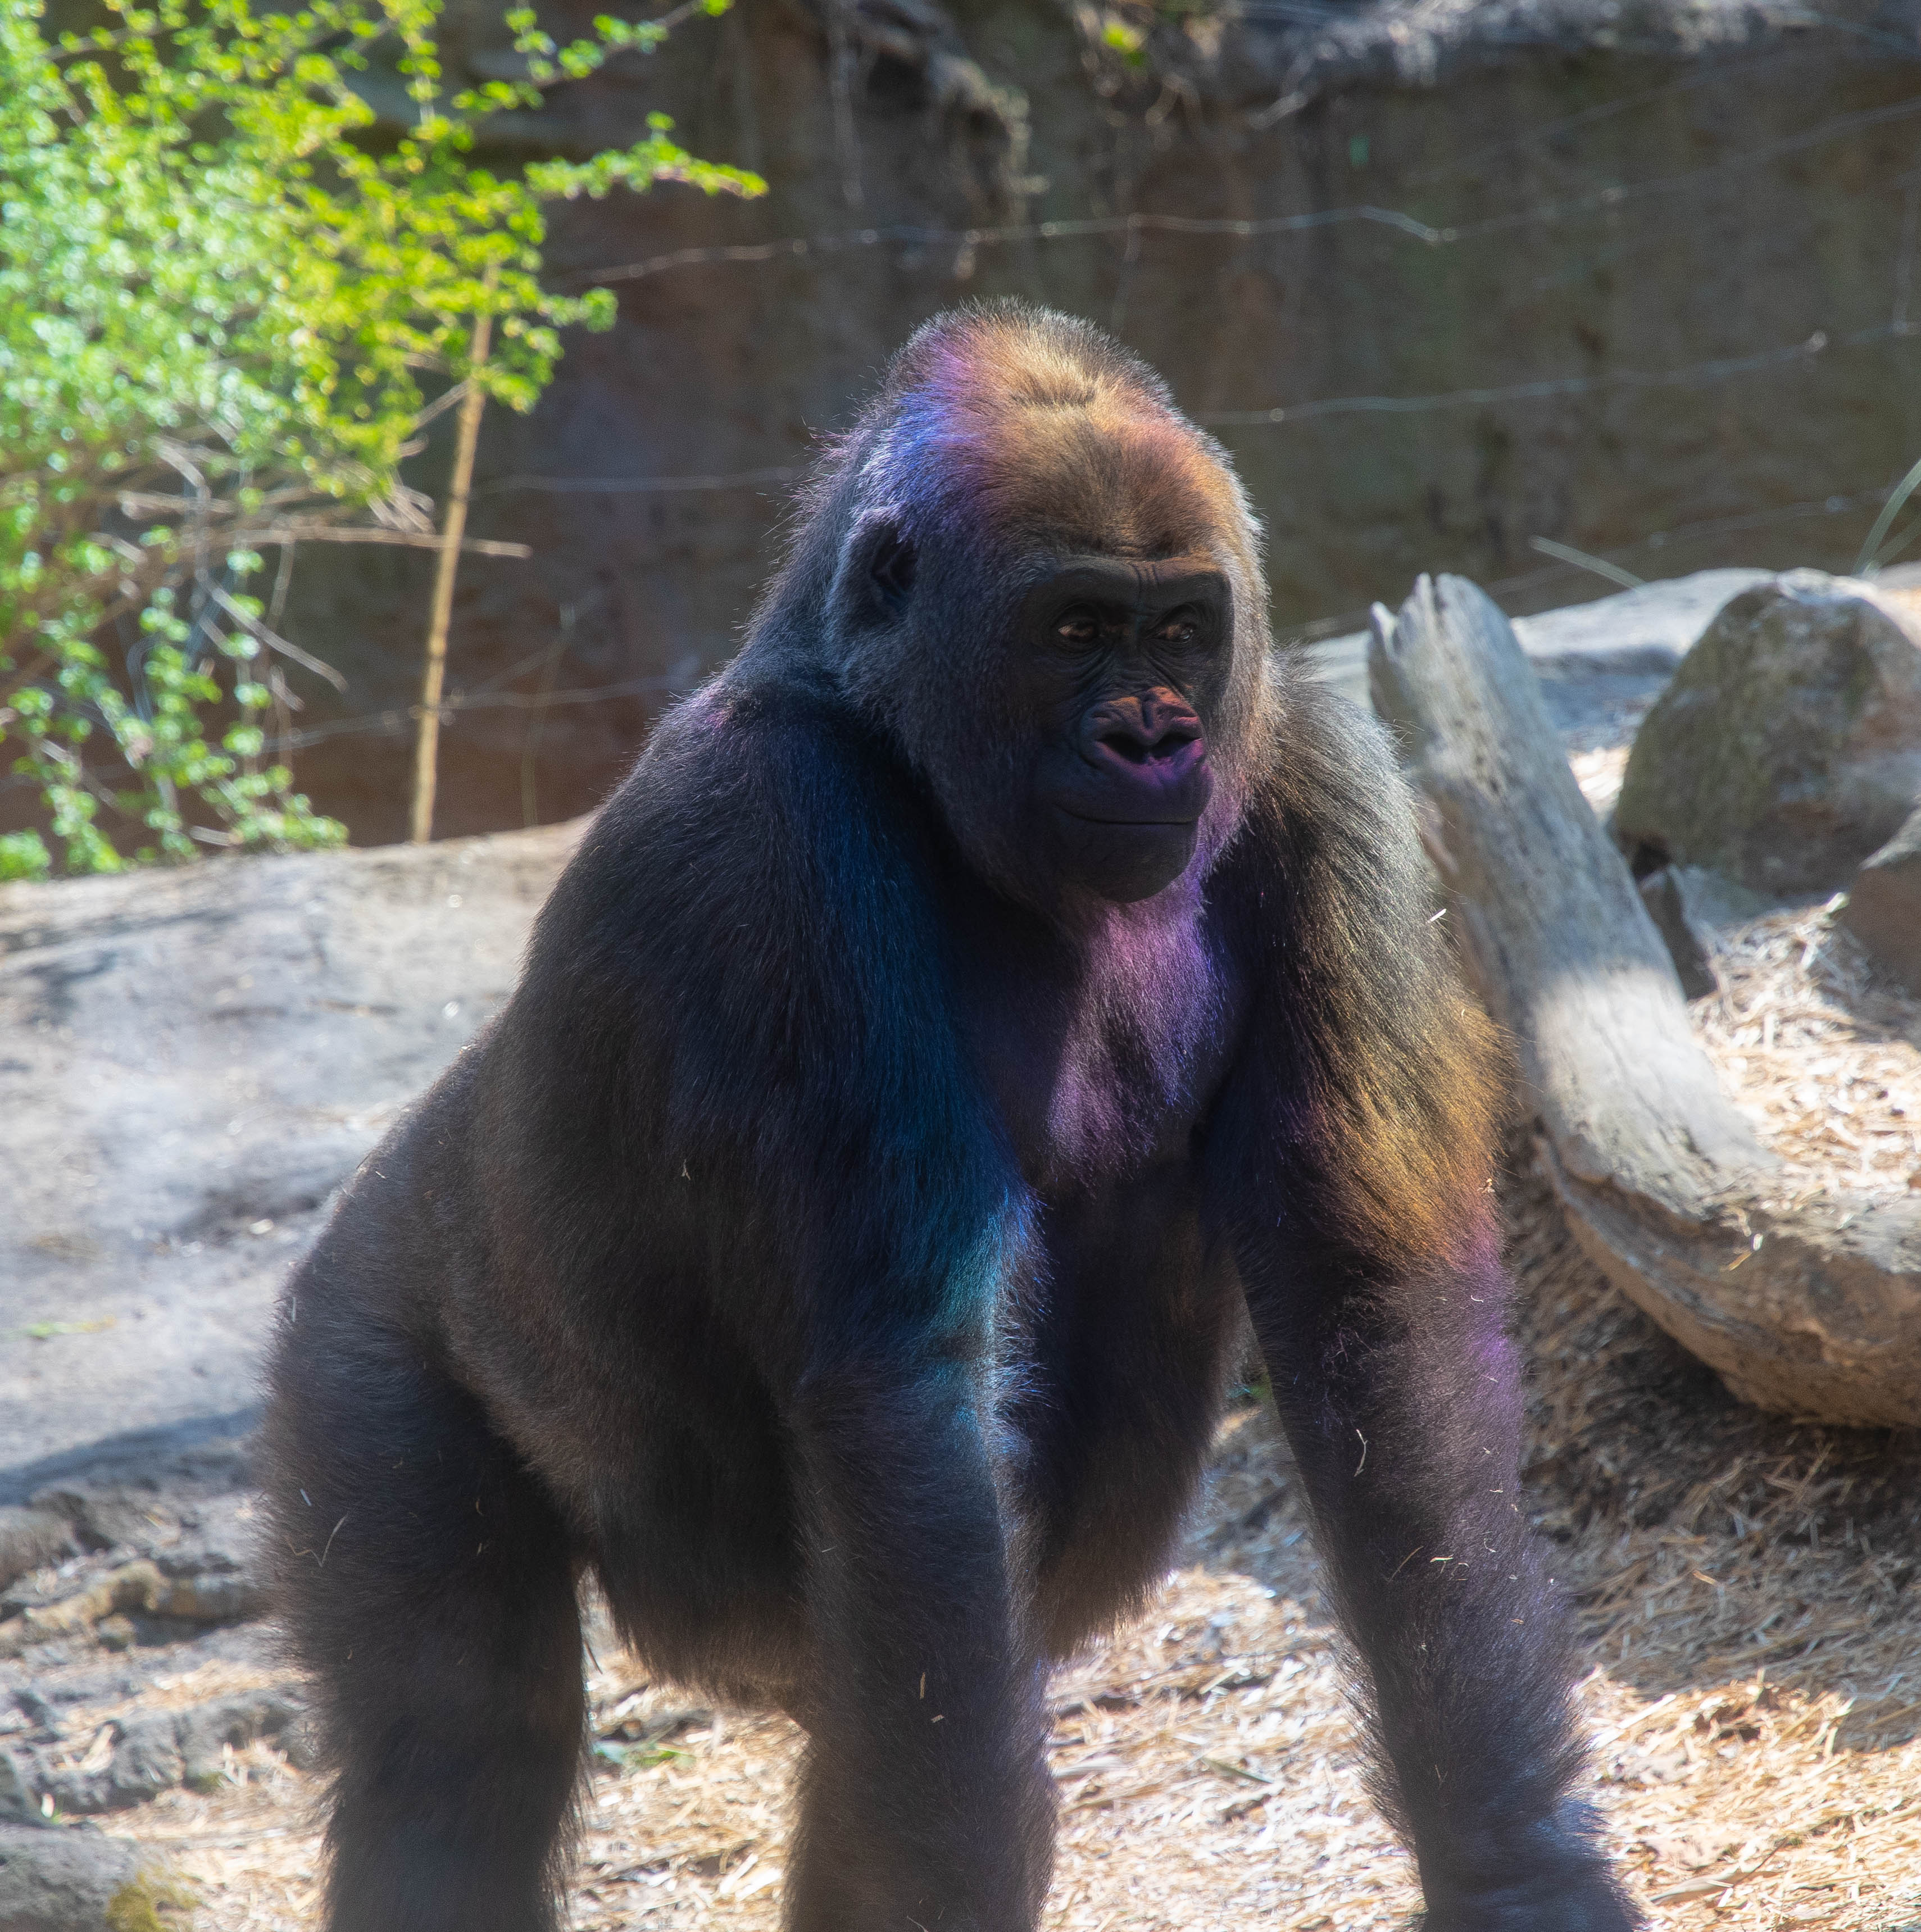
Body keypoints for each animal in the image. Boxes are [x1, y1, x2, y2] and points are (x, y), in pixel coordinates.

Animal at [262, 301, 1623, 1932]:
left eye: (1180, 627)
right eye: (1072, 629)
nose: (1154, 740)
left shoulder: (1311, 759)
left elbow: (1376, 1314)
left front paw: (1519, 1857)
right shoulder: (774, 832)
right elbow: (912, 1394)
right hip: (362, 1326)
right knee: (456, 1741)